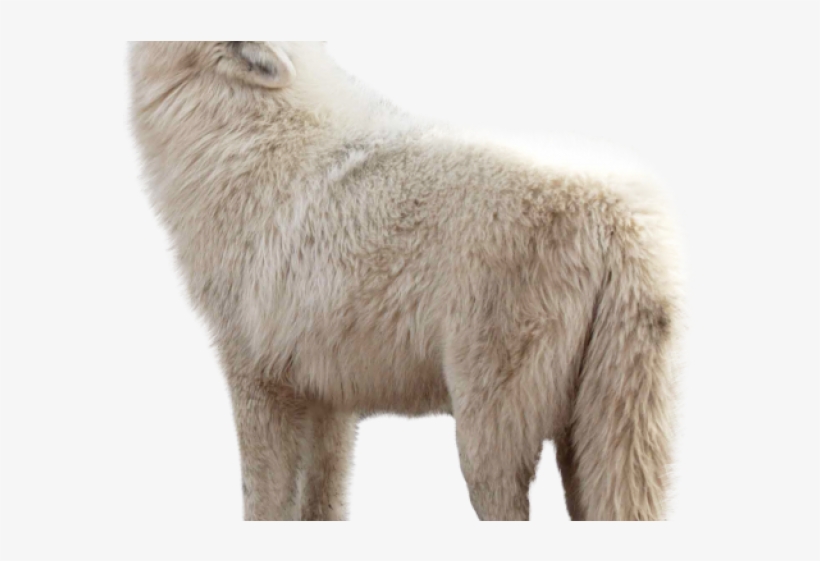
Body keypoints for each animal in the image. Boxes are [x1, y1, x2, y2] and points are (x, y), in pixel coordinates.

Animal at [130, 41, 682, 521]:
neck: (245, 137)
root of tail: (620, 220)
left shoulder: (257, 379)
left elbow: (261, 504)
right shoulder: (326, 399)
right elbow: (322, 504)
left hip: (486, 443)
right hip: (593, 444)